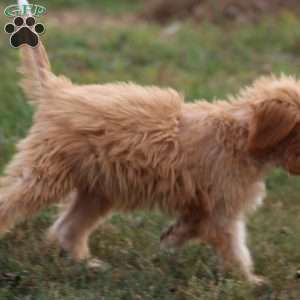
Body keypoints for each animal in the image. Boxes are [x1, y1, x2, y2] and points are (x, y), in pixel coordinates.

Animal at [1, 32, 300, 284]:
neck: (241, 133)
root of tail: (58, 91)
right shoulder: (222, 209)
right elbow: (235, 248)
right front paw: (249, 281)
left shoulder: (205, 205)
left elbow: (192, 226)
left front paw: (171, 239)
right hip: (43, 174)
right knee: (11, 201)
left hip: (98, 189)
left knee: (68, 227)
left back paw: (86, 263)